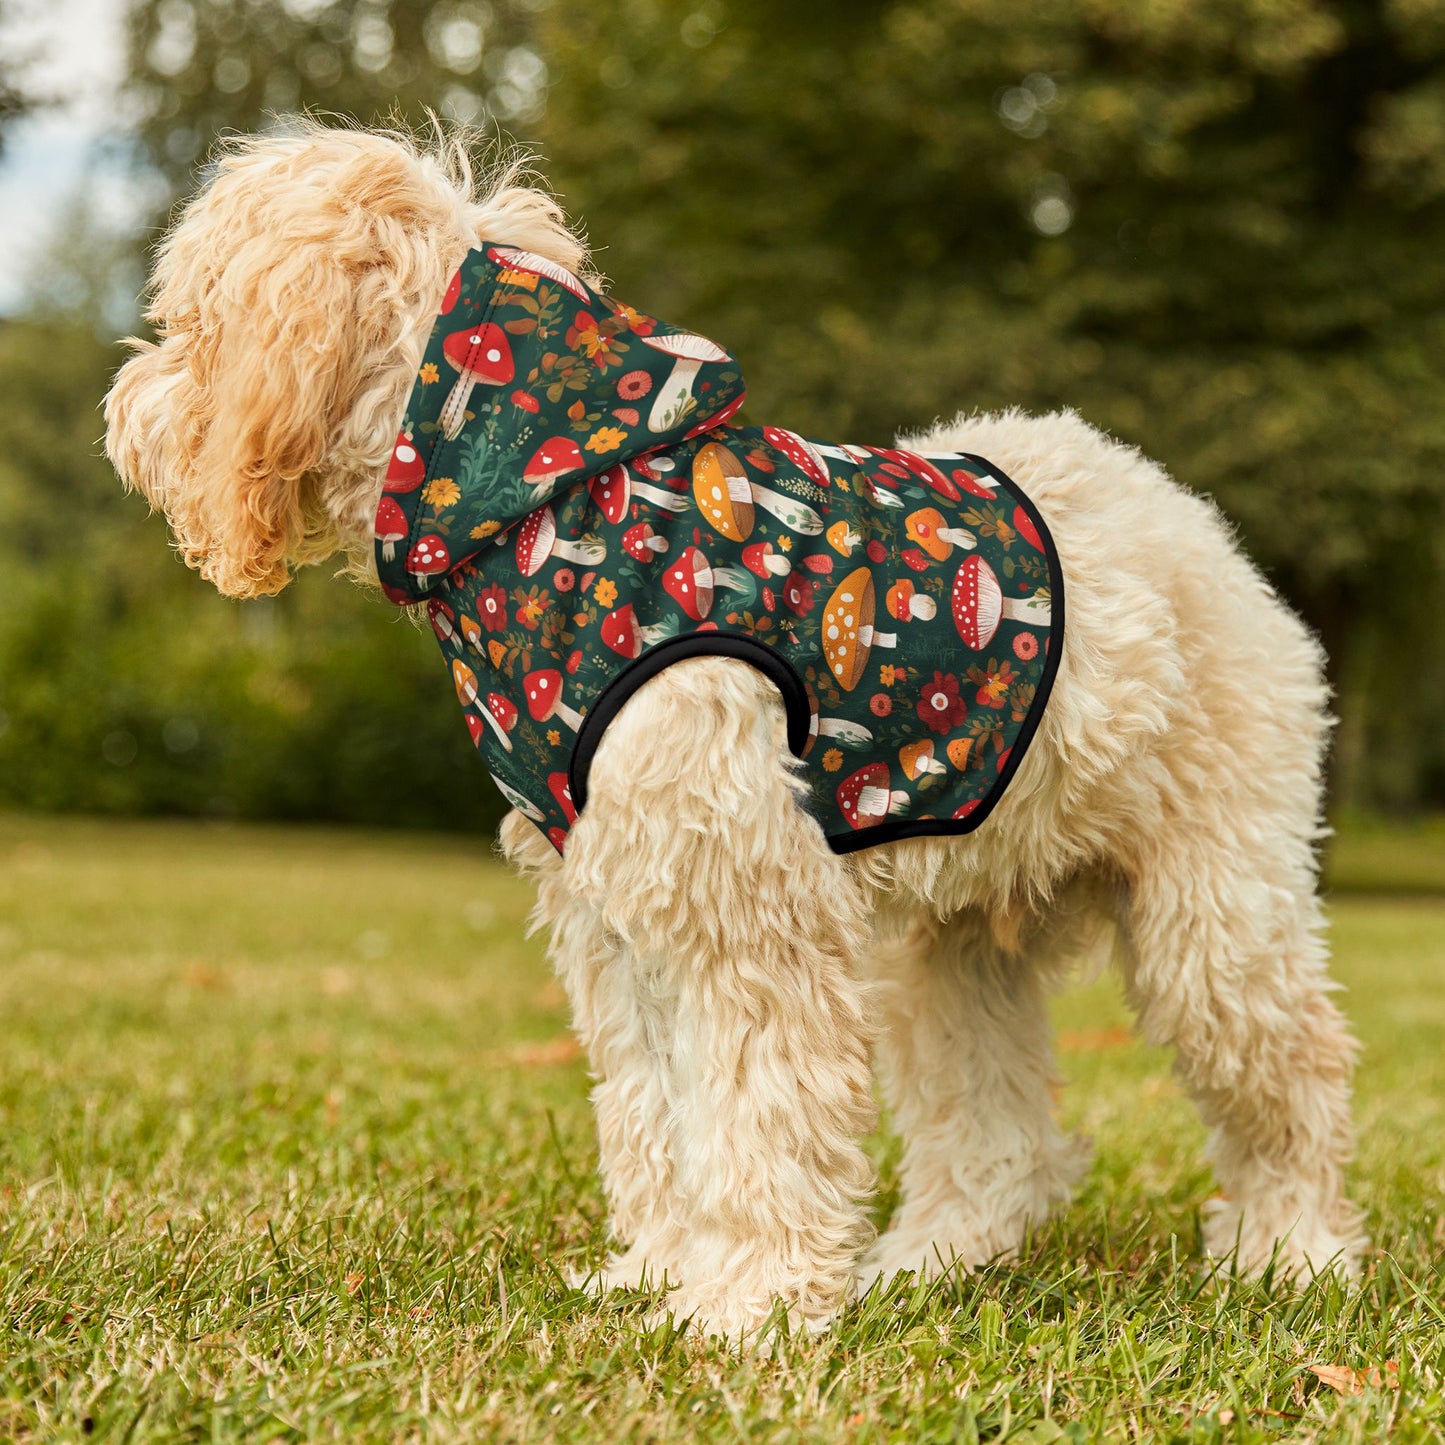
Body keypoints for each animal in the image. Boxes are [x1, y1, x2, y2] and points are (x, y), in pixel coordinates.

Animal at [104, 124, 1364, 1340]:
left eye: (191, 320)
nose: (122, 410)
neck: (545, 501)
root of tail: (1189, 518)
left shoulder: (744, 905)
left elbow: (758, 1113)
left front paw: (747, 1304)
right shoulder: (618, 914)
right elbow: (656, 1112)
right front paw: (662, 1273)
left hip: (1213, 917)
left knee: (1294, 1077)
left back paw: (1290, 1252)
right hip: (948, 950)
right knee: (996, 1136)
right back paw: (929, 1261)